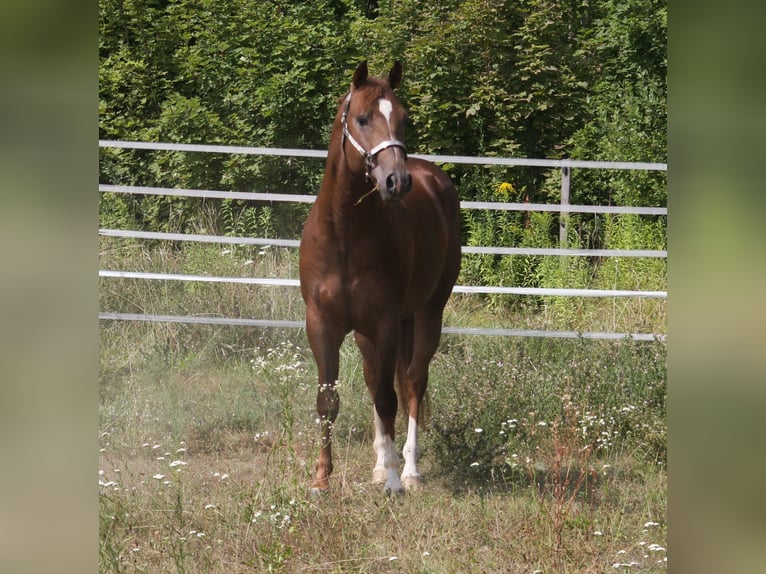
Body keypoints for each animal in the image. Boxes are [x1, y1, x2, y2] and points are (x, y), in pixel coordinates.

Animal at [299, 61, 461, 495]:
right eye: (362, 118)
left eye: (403, 118)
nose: (396, 181)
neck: (344, 235)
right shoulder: (322, 325)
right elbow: (329, 401)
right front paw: (321, 479)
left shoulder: (386, 323)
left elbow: (390, 398)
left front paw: (392, 481)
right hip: (364, 334)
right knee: (377, 382)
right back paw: (378, 464)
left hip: (428, 312)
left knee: (414, 382)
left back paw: (408, 470)